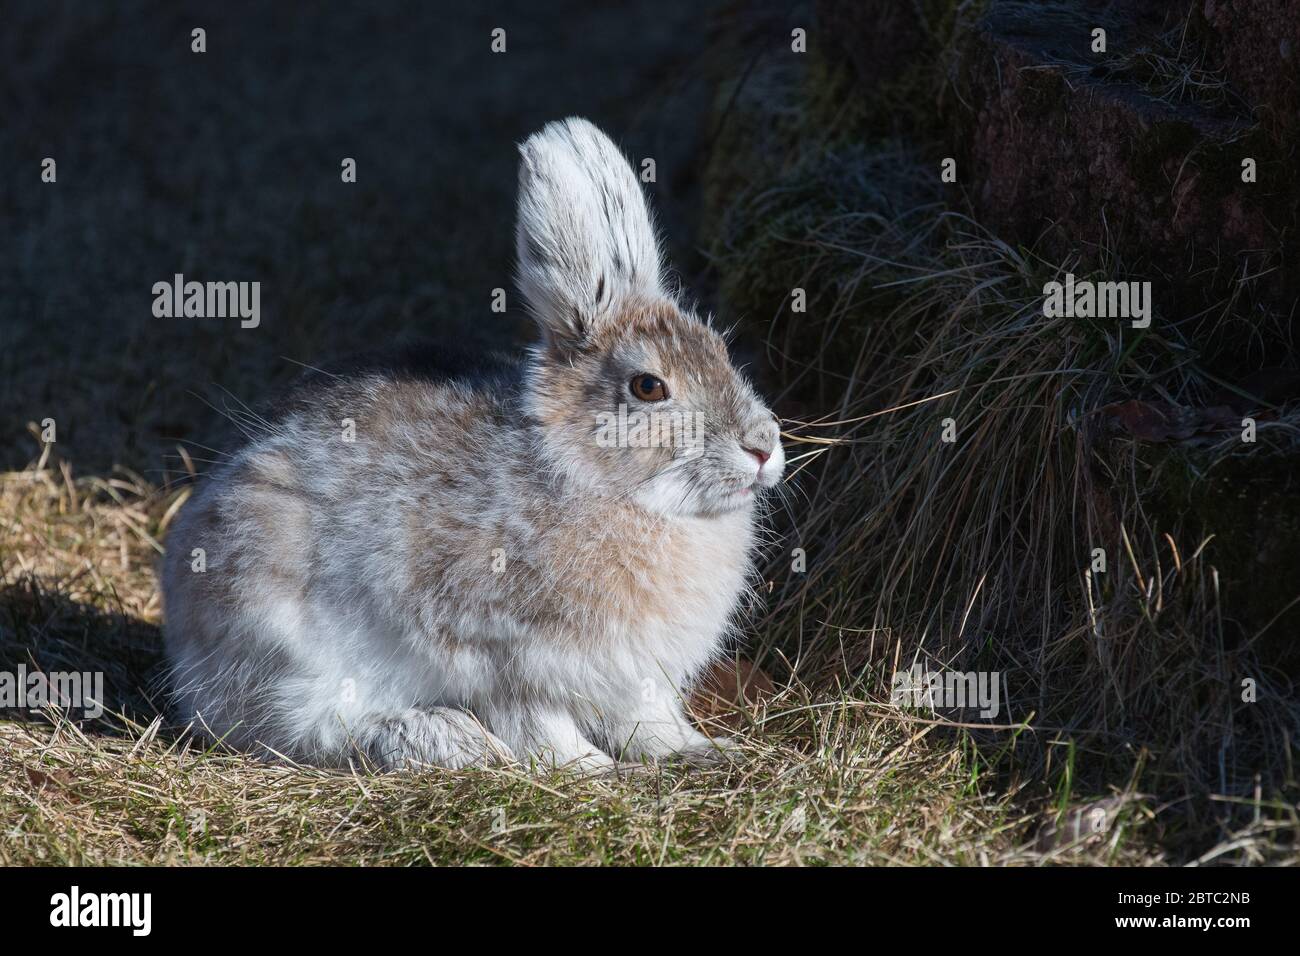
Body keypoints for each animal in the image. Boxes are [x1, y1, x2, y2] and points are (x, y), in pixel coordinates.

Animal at [161, 117, 786, 773]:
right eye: (648, 386)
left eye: (720, 350)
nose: (763, 447)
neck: (592, 480)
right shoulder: (503, 660)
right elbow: (539, 726)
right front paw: (592, 772)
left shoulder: (636, 681)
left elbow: (652, 721)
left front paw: (702, 750)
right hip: (276, 633)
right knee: (309, 731)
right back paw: (446, 738)